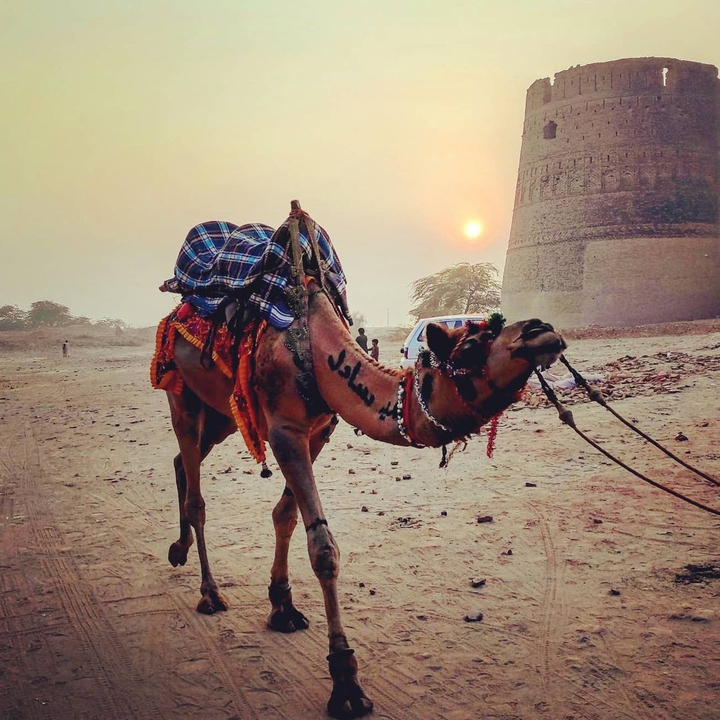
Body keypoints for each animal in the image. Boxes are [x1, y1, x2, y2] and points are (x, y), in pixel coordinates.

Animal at [157, 207, 567, 718]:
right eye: (471, 347)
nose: (541, 330)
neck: (316, 352)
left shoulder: (319, 430)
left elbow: (285, 515)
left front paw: (282, 606)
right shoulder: (285, 431)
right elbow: (323, 549)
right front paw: (346, 682)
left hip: (224, 413)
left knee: (181, 460)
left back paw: (178, 550)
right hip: (182, 394)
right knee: (196, 491)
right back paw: (210, 593)